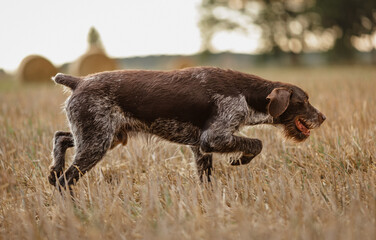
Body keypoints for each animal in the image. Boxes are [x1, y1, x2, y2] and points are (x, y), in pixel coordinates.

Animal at [49, 66, 326, 189]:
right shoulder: (213, 138)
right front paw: (241, 159)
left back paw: (53, 170)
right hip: (97, 141)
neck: (246, 94)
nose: (323, 117)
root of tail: (79, 81)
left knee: (60, 137)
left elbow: (206, 179)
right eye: (303, 101)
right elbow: (257, 143)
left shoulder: (200, 148)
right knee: (66, 180)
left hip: (105, 136)